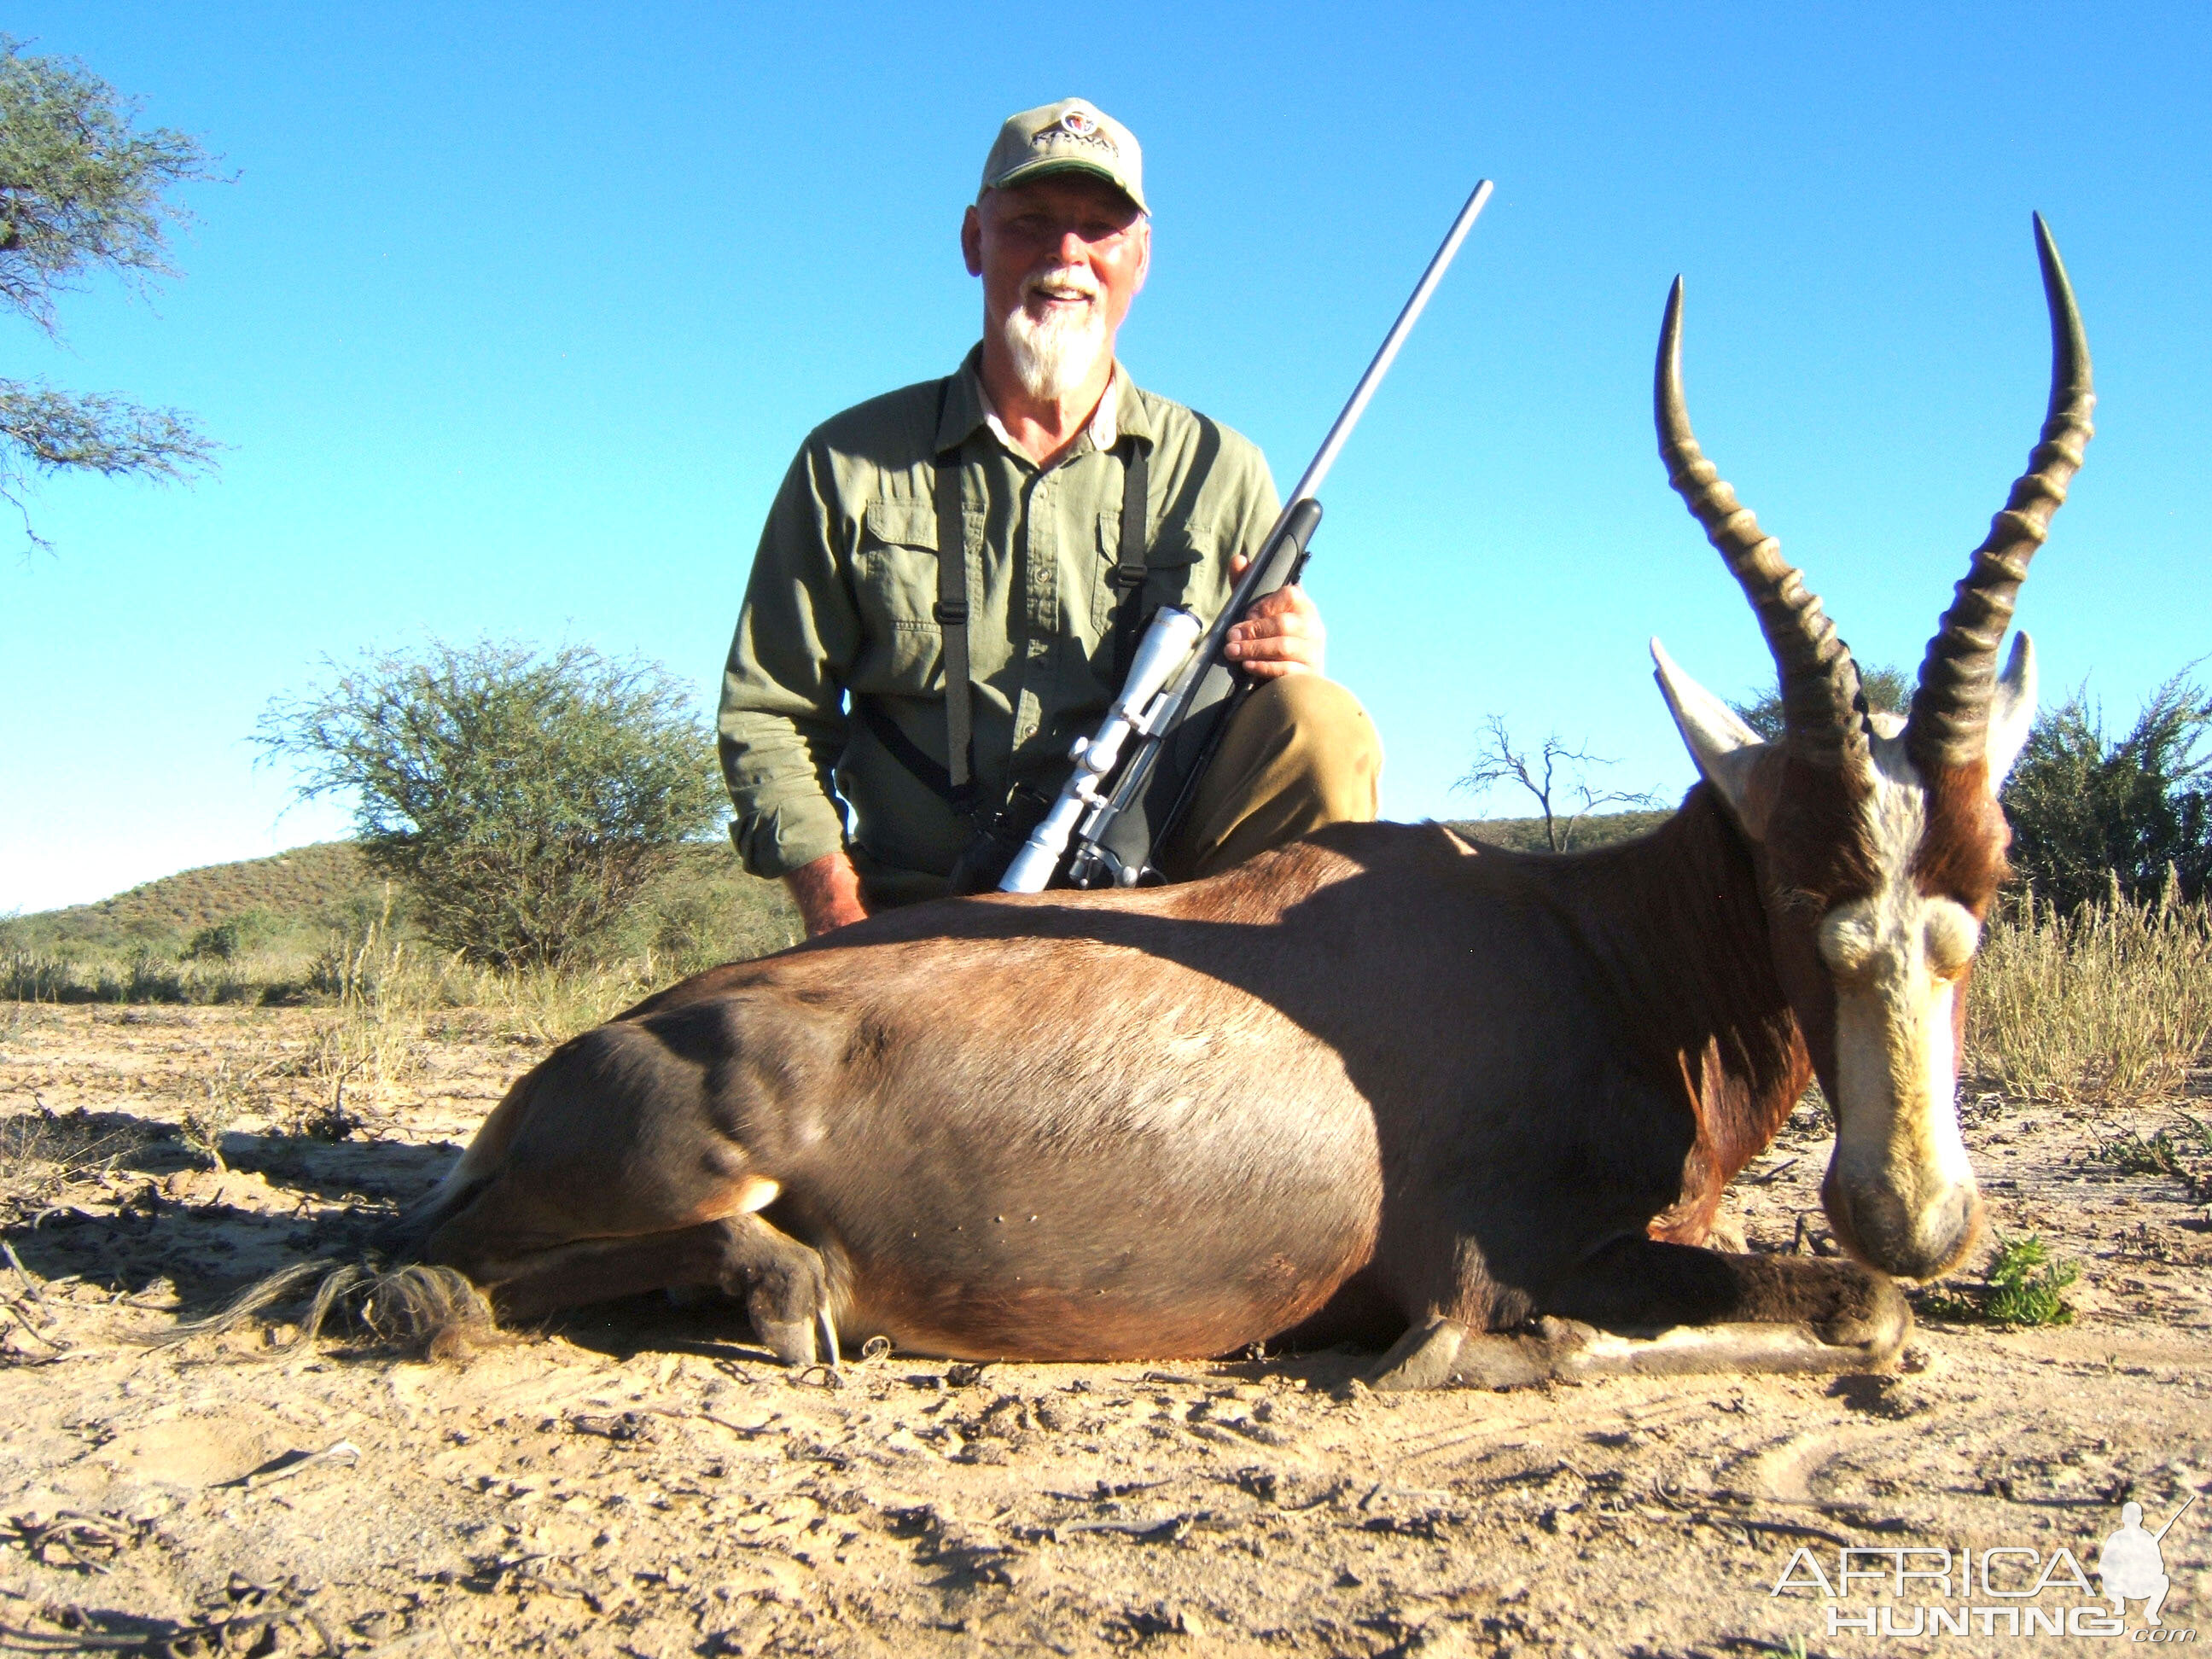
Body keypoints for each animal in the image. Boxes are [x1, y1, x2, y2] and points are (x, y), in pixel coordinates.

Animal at [385, 221, 2087, 1388]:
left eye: (1984, 892)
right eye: (1801, 887)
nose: (1916, 1211)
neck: (1587, 943)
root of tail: (569, 1066)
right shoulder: (1494, 1253)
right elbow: (1843, 1315)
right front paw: (1458, 1358)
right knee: (449, 1264)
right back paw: (755, 1290)